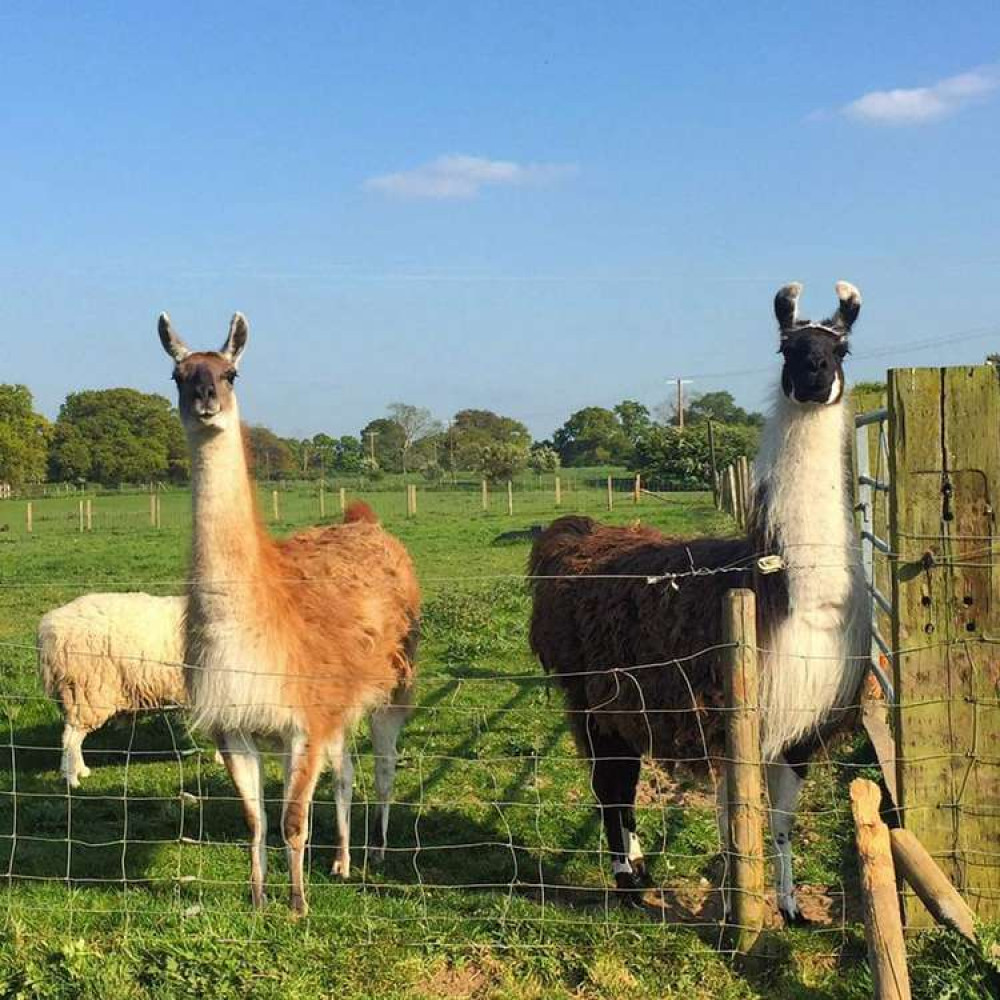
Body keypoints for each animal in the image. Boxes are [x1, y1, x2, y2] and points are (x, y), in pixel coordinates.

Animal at [36, 588, 189, 784]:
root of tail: (48, 630)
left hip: (74, 693)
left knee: (72, 737)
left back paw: (78, 771)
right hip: (86, 692)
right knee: (70, 738)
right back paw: (72, 779)